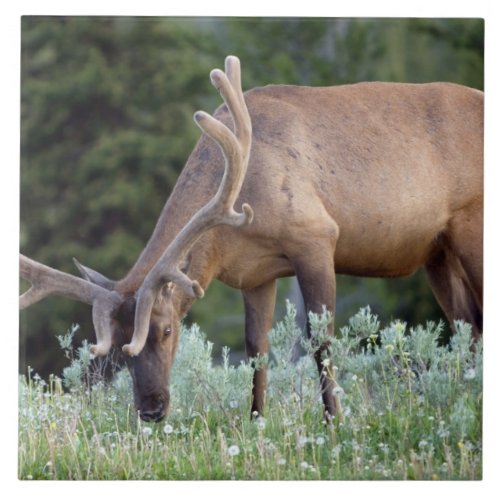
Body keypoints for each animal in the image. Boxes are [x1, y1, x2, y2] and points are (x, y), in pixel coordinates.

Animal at [20, 54, 484, 422]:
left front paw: (335, 421)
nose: (150, 409)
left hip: (472, 225)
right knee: (468, 325)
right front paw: (256, 421)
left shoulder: (316, 237)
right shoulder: (256, 273)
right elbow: (256, 349)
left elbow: (320, 341)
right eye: (115, 344)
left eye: (167, 330)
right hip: (437, 252)